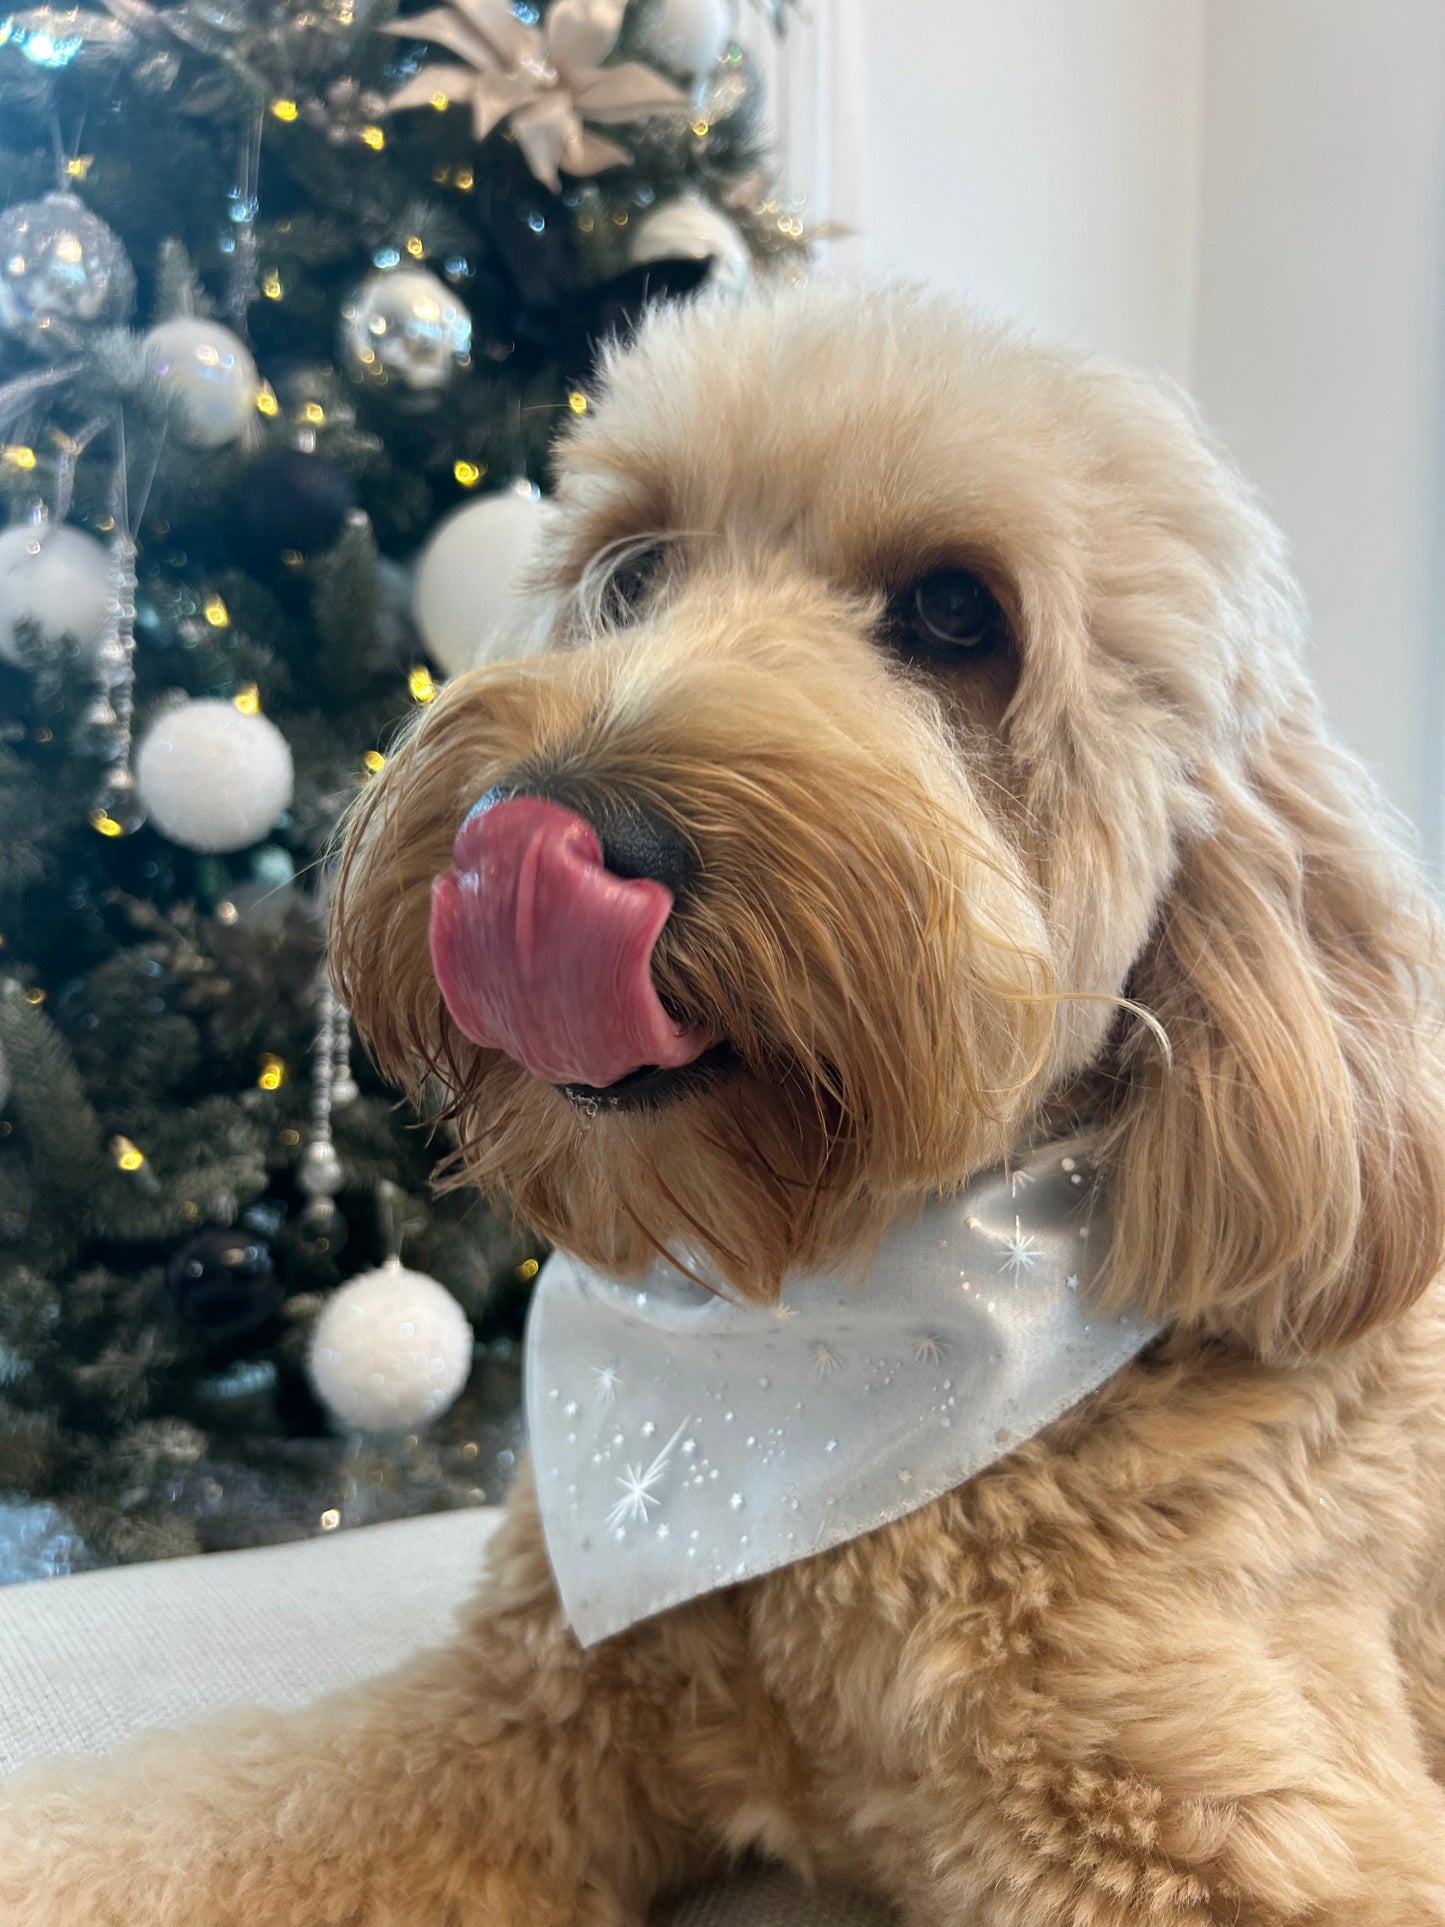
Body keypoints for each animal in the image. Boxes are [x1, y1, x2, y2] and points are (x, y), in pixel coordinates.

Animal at [8, 275, 1445, 1927]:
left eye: (957, 613)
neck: (790, 1361)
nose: (538, 829)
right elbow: (193, 1819)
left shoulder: (1219, 1822)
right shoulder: (518, 1709)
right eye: (633, 571)